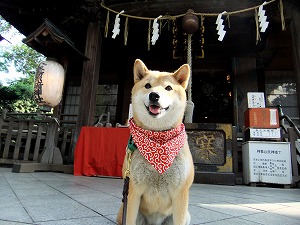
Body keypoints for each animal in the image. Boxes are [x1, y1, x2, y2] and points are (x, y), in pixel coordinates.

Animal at [117, 59, 195, 225]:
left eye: (168, 88)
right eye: (147, 86)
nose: (154, 95)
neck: (158, 137)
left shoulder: (180, 192)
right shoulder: (133, 190)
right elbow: (129, 219)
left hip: (186, 215)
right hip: (123, 211)